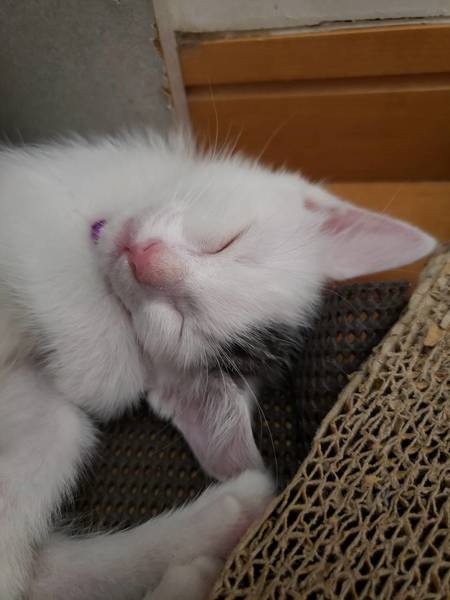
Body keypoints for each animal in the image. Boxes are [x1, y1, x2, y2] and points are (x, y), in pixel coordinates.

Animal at [0, 131, 435, 600]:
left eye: (176, 325)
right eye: (228, 242)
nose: (146, 259)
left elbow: (106, 385)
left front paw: (93, 374)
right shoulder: (33, 195)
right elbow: (46, 242)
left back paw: (219, 529)